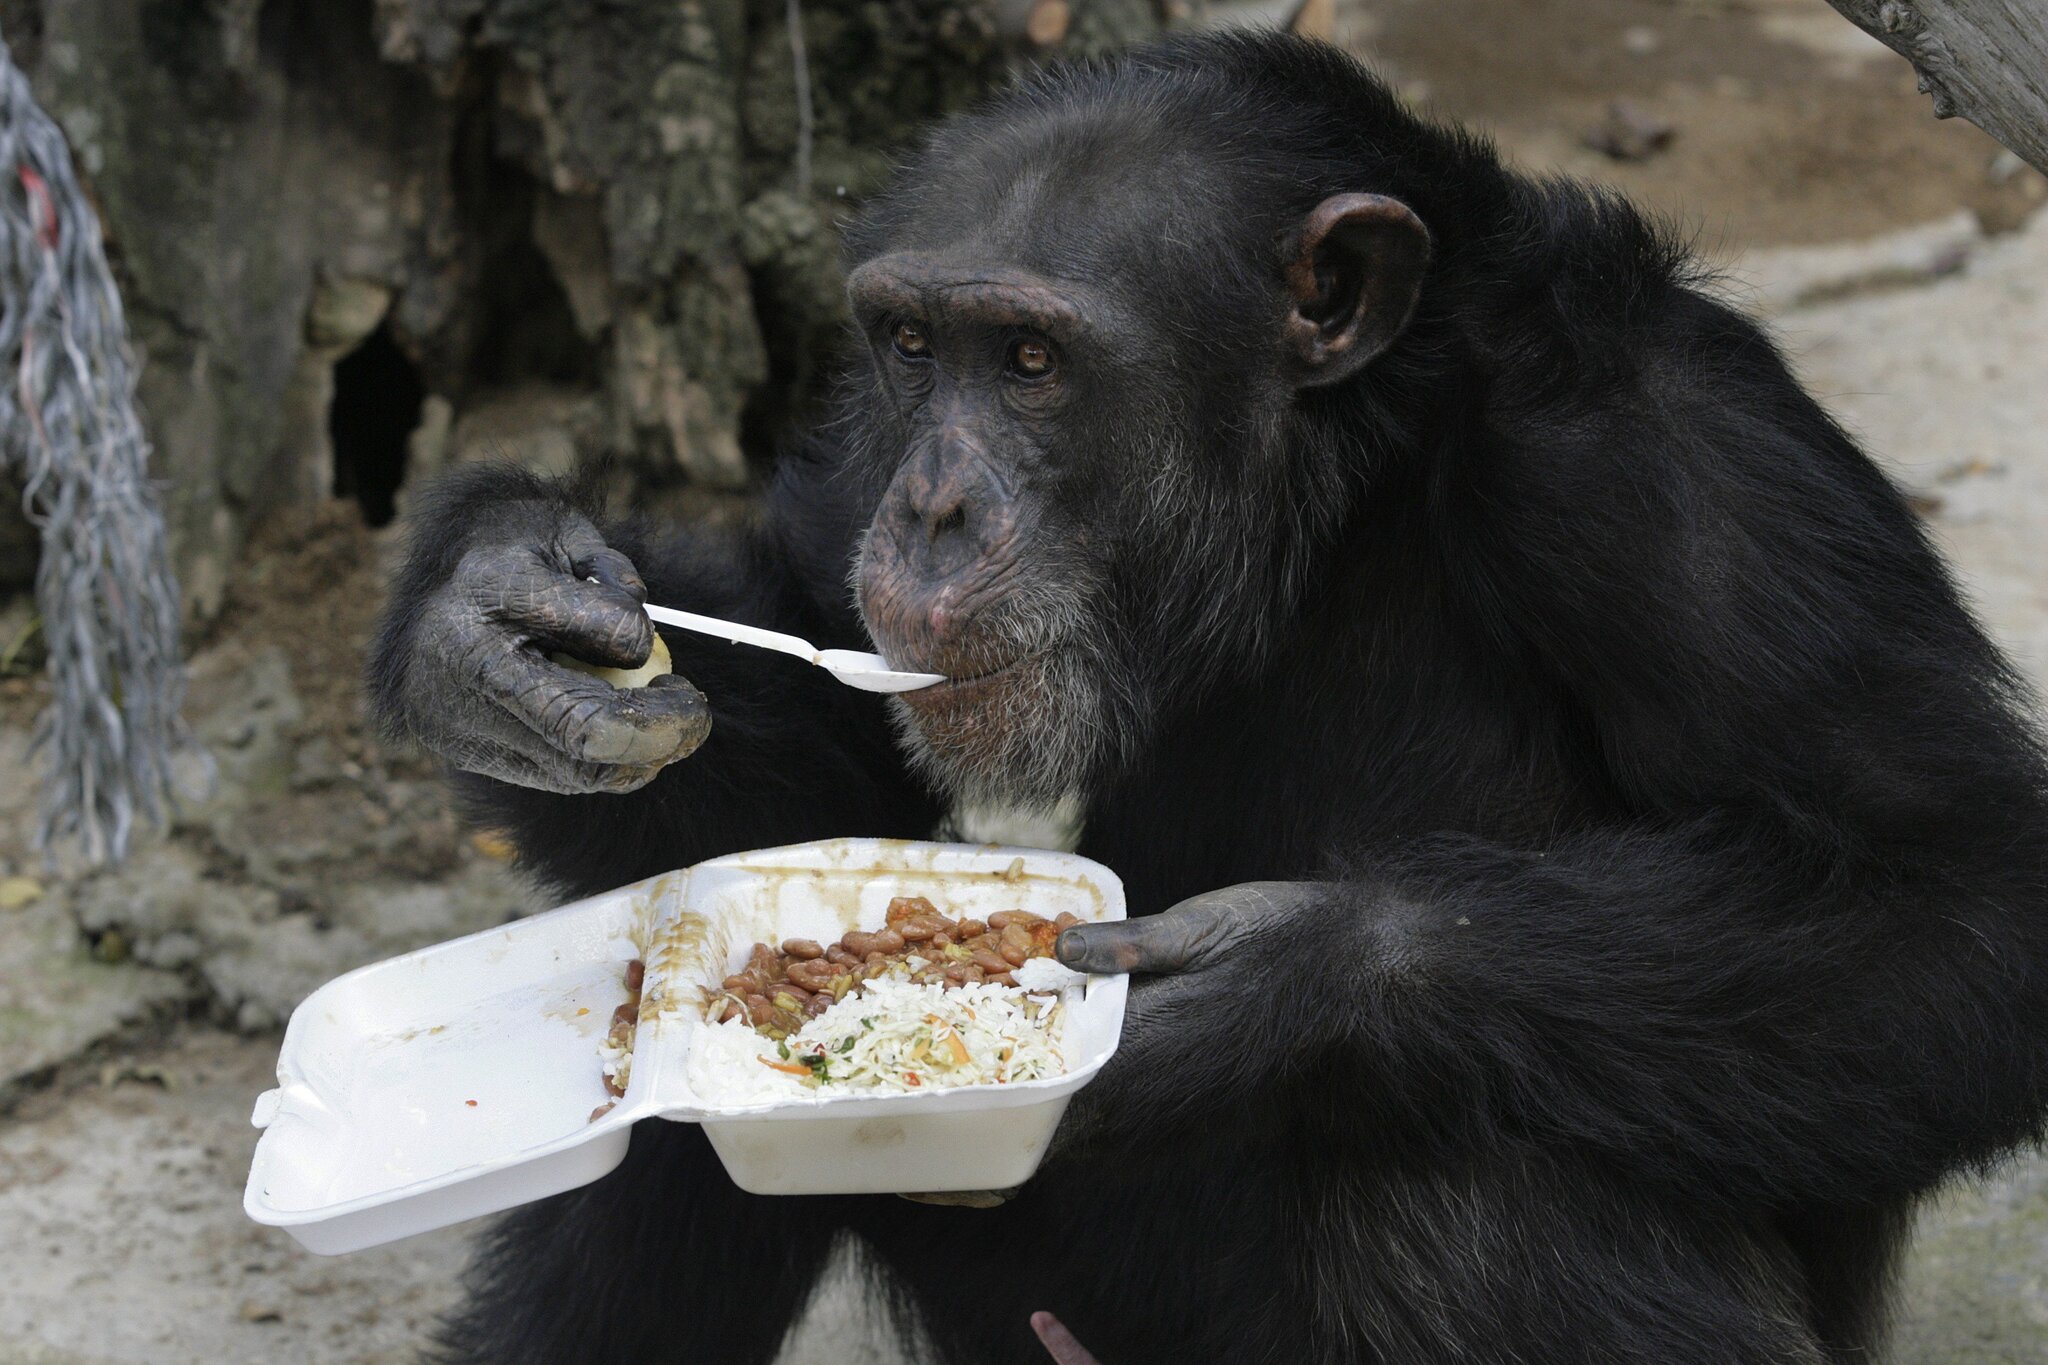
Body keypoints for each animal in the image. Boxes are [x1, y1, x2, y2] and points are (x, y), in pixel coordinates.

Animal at [364, 29, 2048, 1365]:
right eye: (912, 345)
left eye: (1031, 360)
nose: (929, 508)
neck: (1342, 479)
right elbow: (847, 768)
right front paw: (494, 610)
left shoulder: (1687, 471)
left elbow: (1954, 911)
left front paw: (1284, 983)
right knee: (662, 1146)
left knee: (1454, 1173)